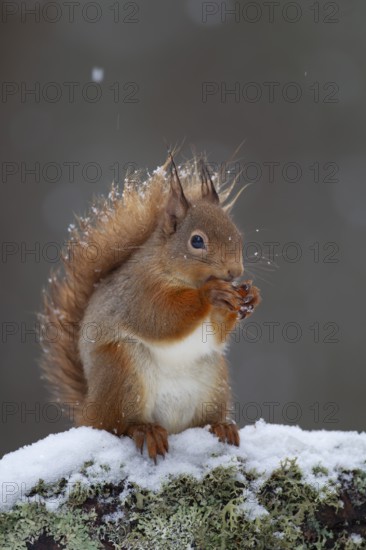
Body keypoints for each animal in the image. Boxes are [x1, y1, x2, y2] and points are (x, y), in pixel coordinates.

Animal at [40, 157, 260, 464]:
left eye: (237, 235)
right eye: (197, 241)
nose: (234, 272)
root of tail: (90, 409)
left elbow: (216, 333)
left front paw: (250, 296)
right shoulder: (140, 293)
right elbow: (161, 320)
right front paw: (210, 293)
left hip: (214, 380)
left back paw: (220, 426)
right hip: (122, 372)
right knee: (119, 426)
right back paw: (146, 430)